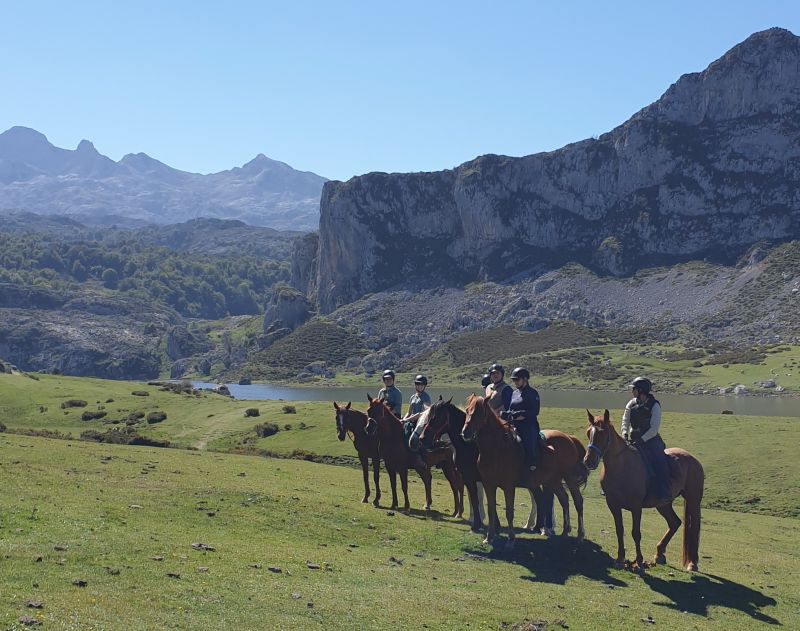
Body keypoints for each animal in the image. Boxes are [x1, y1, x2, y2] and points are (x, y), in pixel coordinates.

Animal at [462, 396, 588, 548]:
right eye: (467, 410)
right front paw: (489, 537)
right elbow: (491, 510)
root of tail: (569, 438)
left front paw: (511, 540)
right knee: (564, 500)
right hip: (553, 480)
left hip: (569, 477)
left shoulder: (508, 486)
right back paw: (564, 532)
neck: (497, 448)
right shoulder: (488, 484)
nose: (465, 432)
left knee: (578, 501)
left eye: (479, 412)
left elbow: (509, 512)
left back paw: (580, 535)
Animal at [580, 410, 708, 572]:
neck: (622, 466)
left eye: (602, 433)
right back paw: (659, 554)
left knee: (694, 527)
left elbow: (636, 533)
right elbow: (619, 530)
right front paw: (620, 559)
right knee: (674, 523)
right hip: (663, 504)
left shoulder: (636, 506)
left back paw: (692, 563)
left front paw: (639, 562)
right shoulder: (613, 504)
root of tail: (693, 459)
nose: (588, 461)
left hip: (693, 500)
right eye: (588, 432)